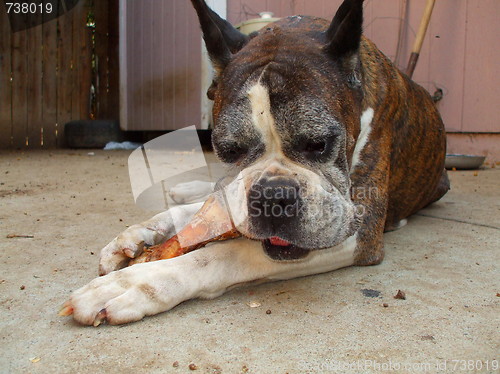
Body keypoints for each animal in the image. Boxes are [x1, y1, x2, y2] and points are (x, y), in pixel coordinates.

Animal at [62, 0, 450, 324]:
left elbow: (224, 254)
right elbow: (201, 213)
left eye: (319, 144)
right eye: (229, 150)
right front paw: (138, 234)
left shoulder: (359, 229)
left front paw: (134, 284)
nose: (272, 195)